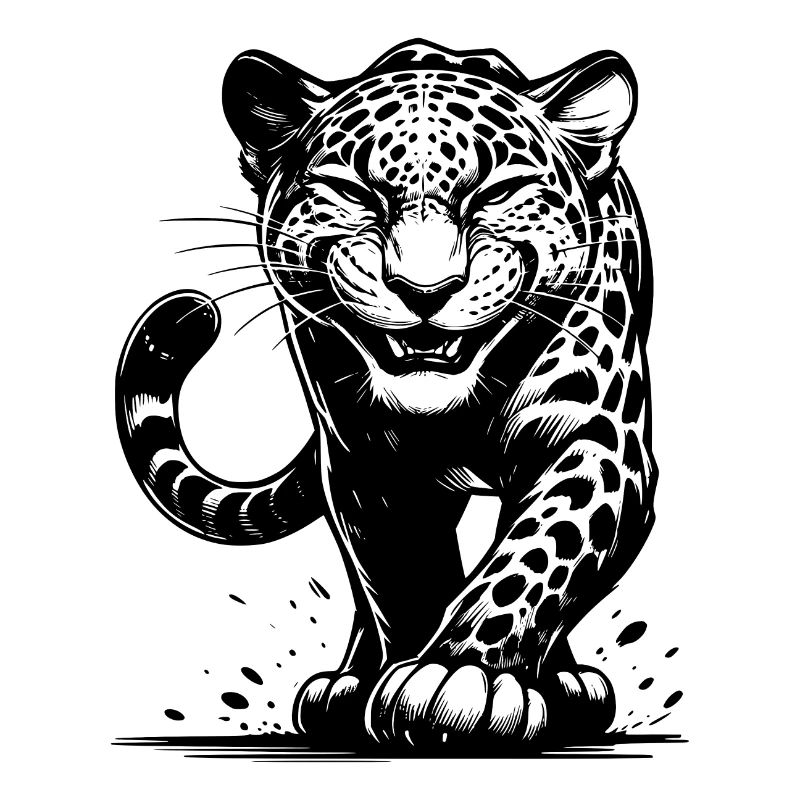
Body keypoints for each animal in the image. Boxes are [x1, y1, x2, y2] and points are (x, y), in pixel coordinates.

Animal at [116, 40, 656, 752]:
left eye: (498, 193)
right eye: (353, 193)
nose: (425, 290)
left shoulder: (598, 444)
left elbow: (537, 554)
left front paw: (463, 676)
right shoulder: (365, 466)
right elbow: (400, 575)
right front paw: (409, 682)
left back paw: (567, 687)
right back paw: (346, 685)